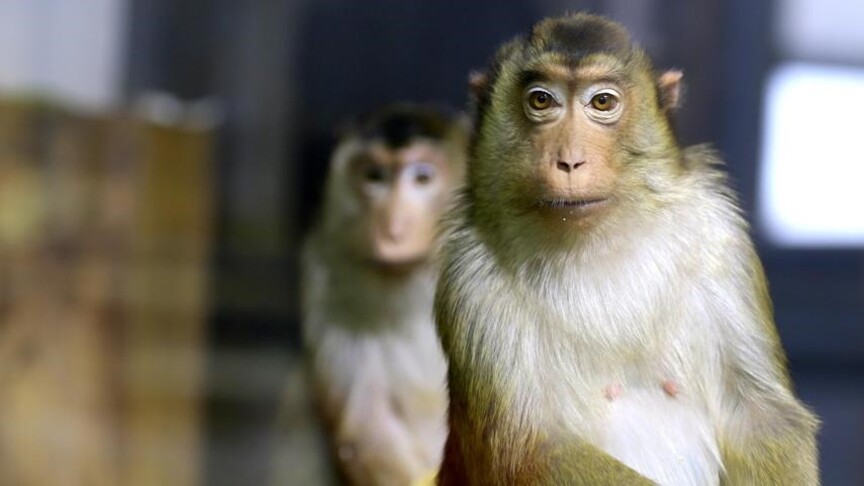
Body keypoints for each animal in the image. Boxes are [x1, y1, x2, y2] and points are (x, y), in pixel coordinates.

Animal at [434, 14, 819, 486]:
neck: (598, 243)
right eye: (541, 100)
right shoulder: (470, 279)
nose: (570, 160)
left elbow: (762, 417)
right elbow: (531, 452)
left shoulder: (719, 236)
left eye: (602, 102)